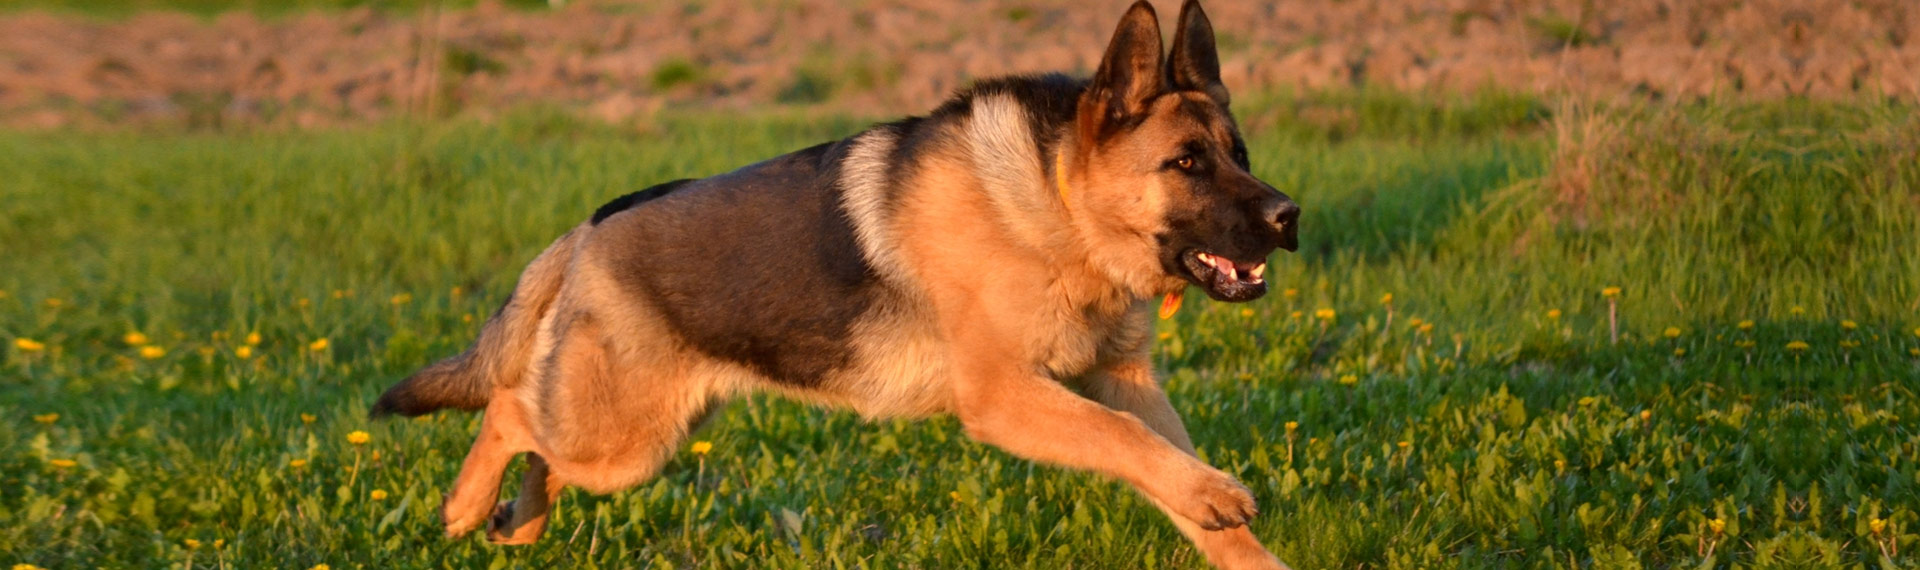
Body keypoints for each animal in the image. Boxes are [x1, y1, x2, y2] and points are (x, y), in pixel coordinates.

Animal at [370, 1, 1299, 567]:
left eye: (1241, 154)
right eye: (1186, 164)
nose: (1290, 216)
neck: (1056, 202)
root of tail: (589, 228)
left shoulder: (1122, 378)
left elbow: (1166, 463)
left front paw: (1227, 523)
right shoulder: (1005, 398)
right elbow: (1126, 441)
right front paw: (1216, 495)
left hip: (635, 441)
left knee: (540, 445)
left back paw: (516, 521)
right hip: (621, 440)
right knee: (509, 410)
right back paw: (466, 509)